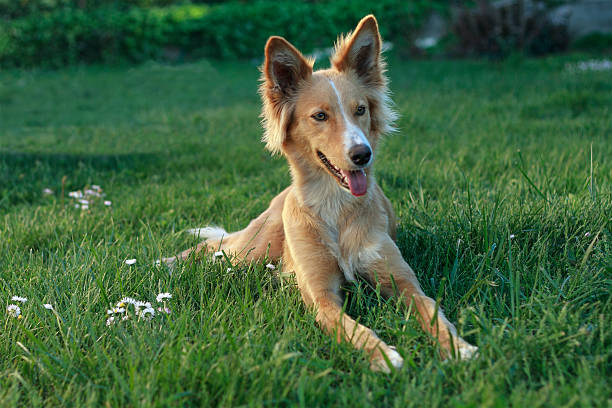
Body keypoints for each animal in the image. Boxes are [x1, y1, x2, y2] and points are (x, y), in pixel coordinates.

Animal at [165, 15, 480, 372]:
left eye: (360, 109)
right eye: (320, 116)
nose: (362, 154)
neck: (336, 207)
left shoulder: (403, 282)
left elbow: (433, 313)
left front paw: (458, 347)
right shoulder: (322, 297)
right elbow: (353, 328)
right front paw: (384, 355)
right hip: (253, 249)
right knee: (210, 247)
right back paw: (164, 263)